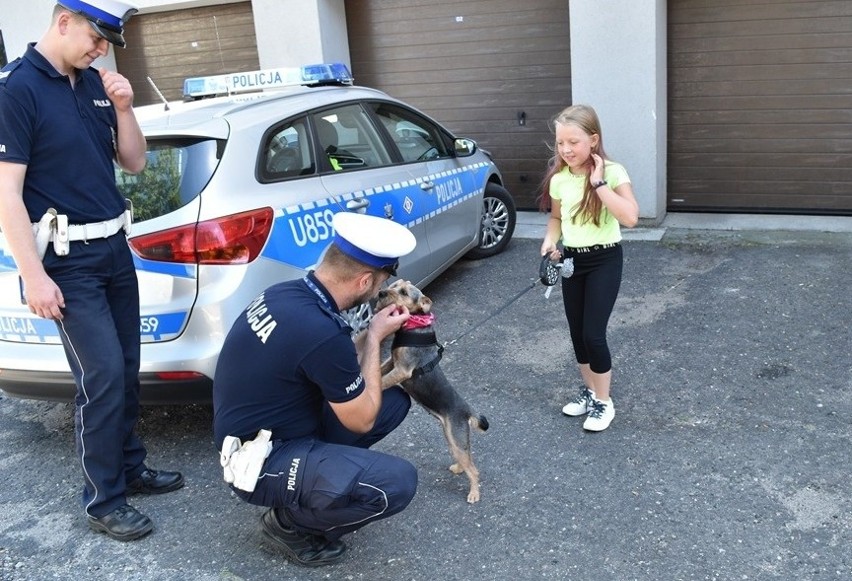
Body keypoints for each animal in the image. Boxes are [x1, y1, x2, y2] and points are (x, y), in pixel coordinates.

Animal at [376, 278, 490, 500]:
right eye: (394, 285)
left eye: (403, 292)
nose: (381, 293)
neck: (414, 324)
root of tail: (468, 410)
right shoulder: (392, 361)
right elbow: (379, 371)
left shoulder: (402, 370)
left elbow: (383, 381)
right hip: (452, 437)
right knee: (466, 459)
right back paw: (458, 468)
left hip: (456, 436)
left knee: (474, 470)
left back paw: (474, 493)